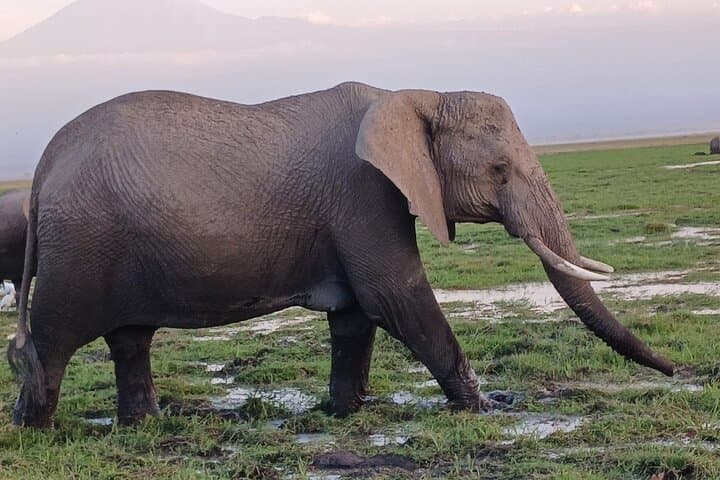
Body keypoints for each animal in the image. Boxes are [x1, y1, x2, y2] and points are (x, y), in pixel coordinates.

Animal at [8, 82, 674, 428]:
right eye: (499, 172)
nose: (678, 372)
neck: (419, 95)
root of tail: (42, 165)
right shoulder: (364, 193)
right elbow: (396, 296)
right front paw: (487, 409)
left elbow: (357, 316)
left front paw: (344, 412)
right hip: (80, 246)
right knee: (54, 339)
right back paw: (33, 428)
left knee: (130, 339)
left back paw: (144, 425)